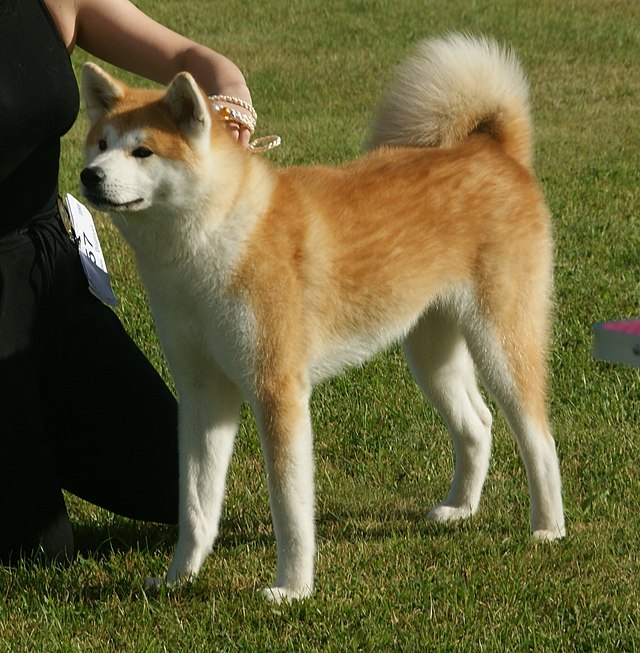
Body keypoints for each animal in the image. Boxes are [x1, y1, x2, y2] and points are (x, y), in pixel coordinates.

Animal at [80, 34, 564, 600]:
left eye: (143, 151)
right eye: (100, 144)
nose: (89, 175)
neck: (214, 240)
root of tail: (492, 150)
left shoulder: (276, 389)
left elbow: (290, 509)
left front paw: (291, 589)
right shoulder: (203, 392)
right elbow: (196, 506)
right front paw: (180, 579)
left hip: (500, 341)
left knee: (538, 436)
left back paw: (548, 529)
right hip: (430, 352)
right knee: (478, 423)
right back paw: (460, 509)